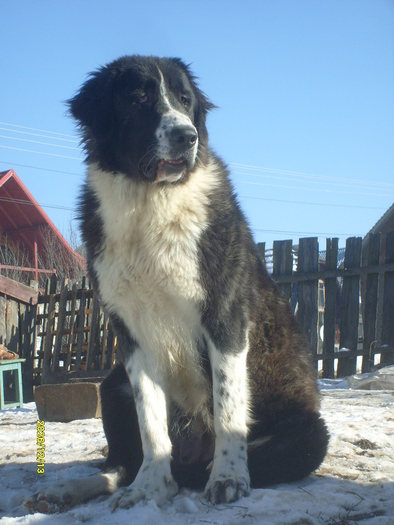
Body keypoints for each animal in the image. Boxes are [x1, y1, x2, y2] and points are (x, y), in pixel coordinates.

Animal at [27, 56, 328, 512]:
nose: (187, 136)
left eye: (185, 100)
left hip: (310, 435)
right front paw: (149, 488)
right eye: (138, 97)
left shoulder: (224, 318)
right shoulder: (130, 337)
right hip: (110, 385)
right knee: (120, 465)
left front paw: (228, 478)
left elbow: (228, 406)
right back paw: (67, 490)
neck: (149, 204)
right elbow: (151, 426)